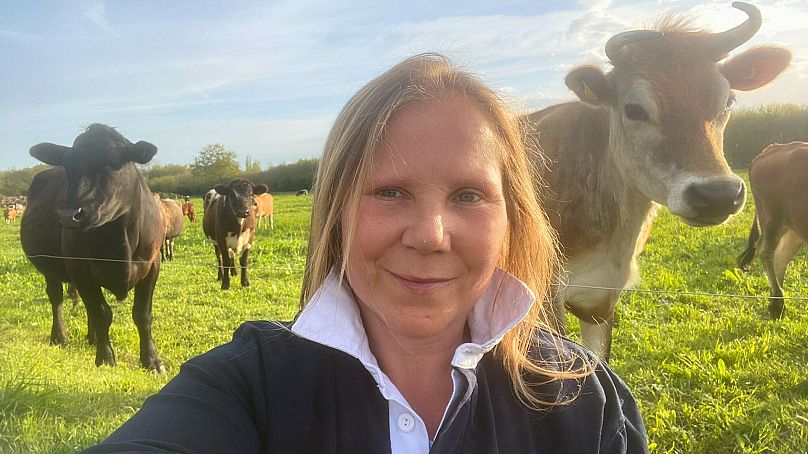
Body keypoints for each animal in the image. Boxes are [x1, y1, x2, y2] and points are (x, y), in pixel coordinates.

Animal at [20, 124, 165, 371]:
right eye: (67, 165)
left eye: (114, 162)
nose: (69, 215)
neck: (121, 242)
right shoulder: (81, 269)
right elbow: (101, 312)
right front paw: (105, 358)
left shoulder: (152, 265)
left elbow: (142, 315)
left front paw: (152, 360)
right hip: (50, 267)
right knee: (56, 297)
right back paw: (60, 336)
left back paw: (92, 338)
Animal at [737, 142, 808, 319]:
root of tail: (775, 147)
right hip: (772, 220)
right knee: (765, 251)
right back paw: (777, 304)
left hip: (794, 227)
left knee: (780, 257)